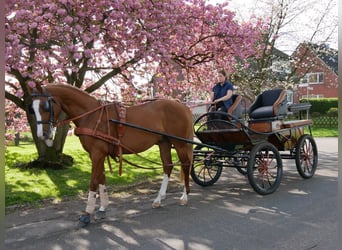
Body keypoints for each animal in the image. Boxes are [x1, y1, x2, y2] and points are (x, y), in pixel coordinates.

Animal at [30, 84, 194, 227]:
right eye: (32, 109)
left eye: (45, 106)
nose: (41, 135)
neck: (92, 114)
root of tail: (182, 106)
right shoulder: (98, 154)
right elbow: (101, 179)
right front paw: (102, 208)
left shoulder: (97, 153)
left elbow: (93, 181)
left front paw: (86, 214)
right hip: (164, 143)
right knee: (167, 166)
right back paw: (159, 199)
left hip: (179, 143)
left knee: (186, 164)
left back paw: (185, 196)